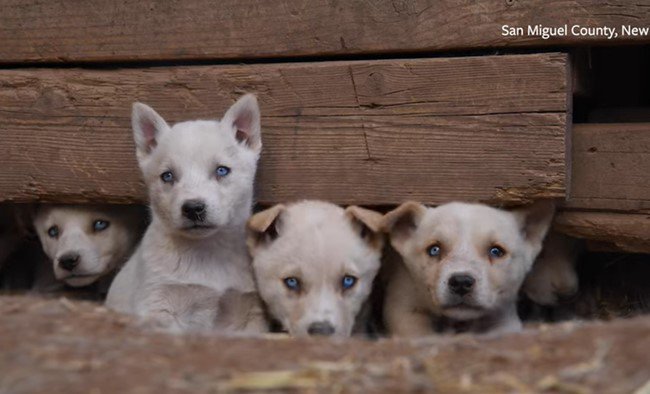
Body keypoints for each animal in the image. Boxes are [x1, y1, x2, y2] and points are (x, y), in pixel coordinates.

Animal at [106, 94, 266, 332]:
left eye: (222, 170)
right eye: (167, 176)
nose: (193, 208)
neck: (207, 252)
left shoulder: (250, 312)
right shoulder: (157, 304)